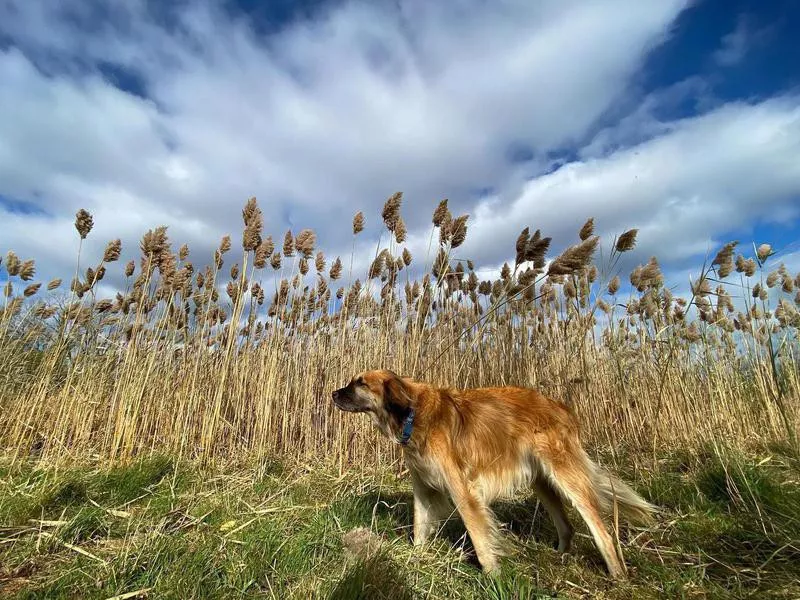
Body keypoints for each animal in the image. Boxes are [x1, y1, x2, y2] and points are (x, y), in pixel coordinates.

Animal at [332, 368, 656, 580]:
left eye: (360, 383)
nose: (333, 393)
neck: (413, 413)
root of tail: (560, 406)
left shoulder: (463, 491)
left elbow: (479, 537)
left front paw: (492, 577)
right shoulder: (423, 488)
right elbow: (419, 528)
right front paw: (415, 559)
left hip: (566, 478)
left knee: (601, 530)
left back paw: (617, 575)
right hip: (542, 482)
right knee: (567, 526)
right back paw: (561, 557)